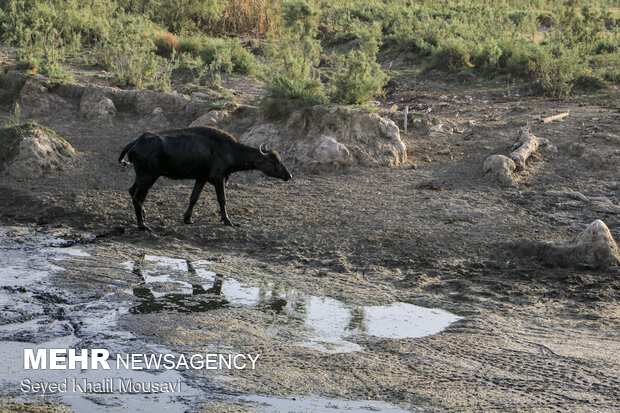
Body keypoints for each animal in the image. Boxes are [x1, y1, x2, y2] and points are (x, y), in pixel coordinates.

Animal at [119, 125, 294, 230]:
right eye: (274, 161)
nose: (289, 175)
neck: (228, 150)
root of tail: (137, 141)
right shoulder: (218, 178)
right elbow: (222, 200)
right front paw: (228, 220)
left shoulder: (201, 178)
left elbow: (194, 198)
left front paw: (187, 218)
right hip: (148, 177)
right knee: (138, 198)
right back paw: (143, 225)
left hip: (142, 176)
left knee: (131, 191)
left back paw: (143, 215)